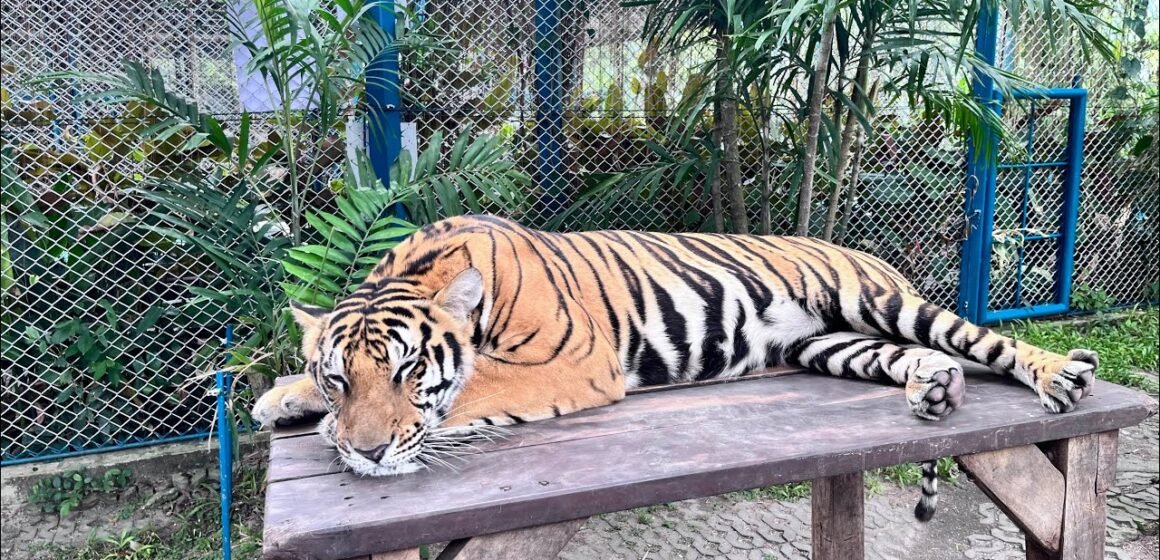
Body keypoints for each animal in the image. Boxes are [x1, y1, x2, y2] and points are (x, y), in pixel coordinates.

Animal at [252, 214, 1098, 522]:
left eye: (405, 372)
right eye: (339, 376)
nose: (366, 453)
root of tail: (869, 256)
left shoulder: (573, 361)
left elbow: (474, 383)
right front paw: (281, 399)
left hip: (877, 303)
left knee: (982, 340)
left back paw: (1061, 375)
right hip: (831, 343)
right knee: (931, 358)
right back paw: (935, 393)